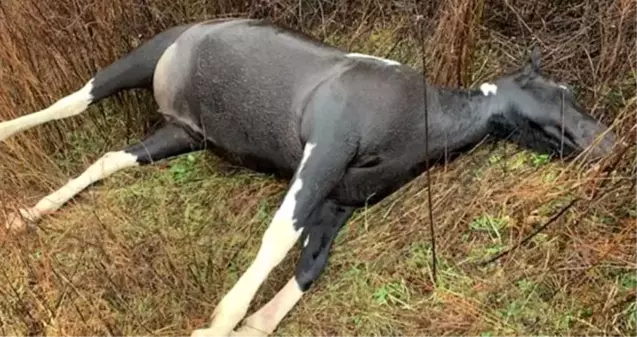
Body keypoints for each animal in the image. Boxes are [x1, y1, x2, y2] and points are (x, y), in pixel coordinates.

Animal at [0, 17, 616, 336]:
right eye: (557, 91)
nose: (609, 143)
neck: (417, 120)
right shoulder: (323, 154)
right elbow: (279, 237)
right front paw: (219, 323)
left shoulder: (340, 203)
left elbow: (310, 264)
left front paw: (253, 325)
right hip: (135, 63)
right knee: (68, 103)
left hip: (180, 134)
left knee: (108, 159)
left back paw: (30, 214)